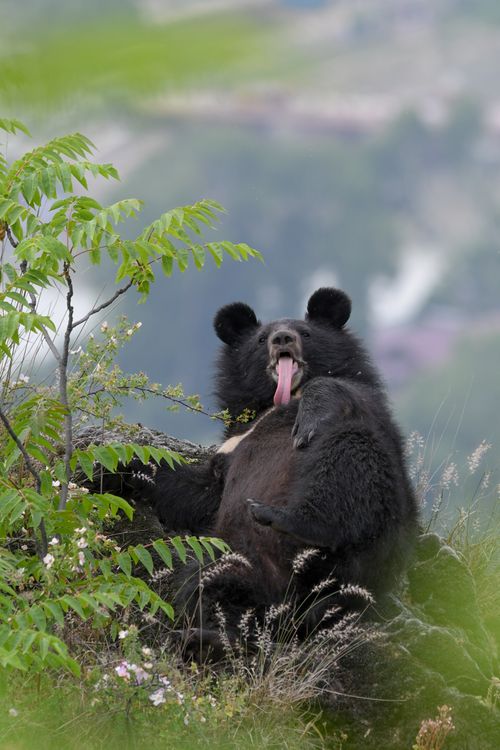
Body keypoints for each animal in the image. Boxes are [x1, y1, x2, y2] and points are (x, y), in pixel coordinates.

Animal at [128, 288, 418, 646]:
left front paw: (307, 423)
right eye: (261, 339)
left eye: (304, 333)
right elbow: (191, 491)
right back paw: (206, 637)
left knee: (345, 467)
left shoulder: (366, 403)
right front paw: (108, 471)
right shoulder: (229, 448)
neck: (278, 401)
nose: (283, 338)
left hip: (374, 519)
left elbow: (335, 391)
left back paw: (281, 517)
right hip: (238, 555)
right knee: (213, 584)